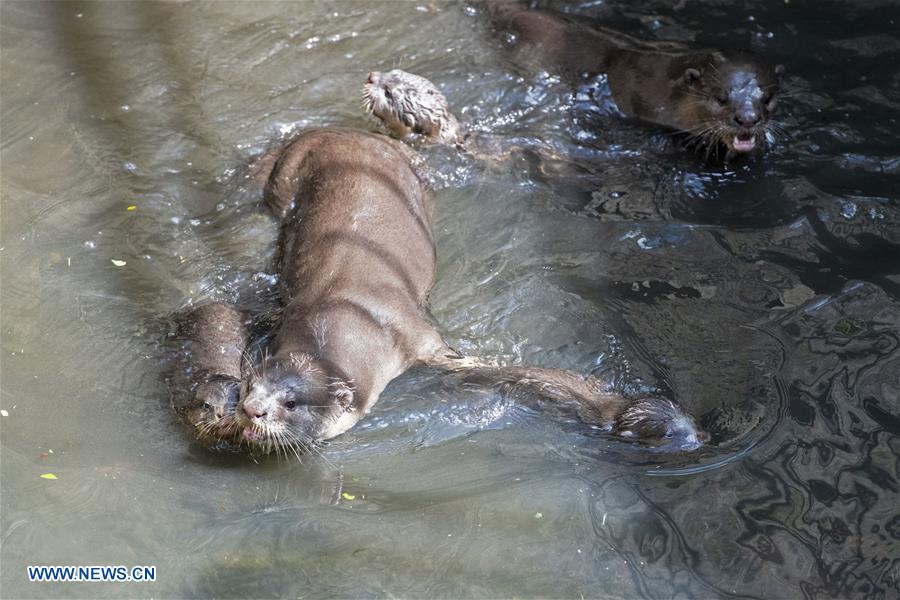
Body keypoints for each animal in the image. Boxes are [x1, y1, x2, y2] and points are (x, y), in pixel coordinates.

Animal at [227, 127, 704, 454]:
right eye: (251, 383)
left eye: (292, 403)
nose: (251, 409)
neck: (348, 311)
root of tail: (329, 132)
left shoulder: (419, 340)